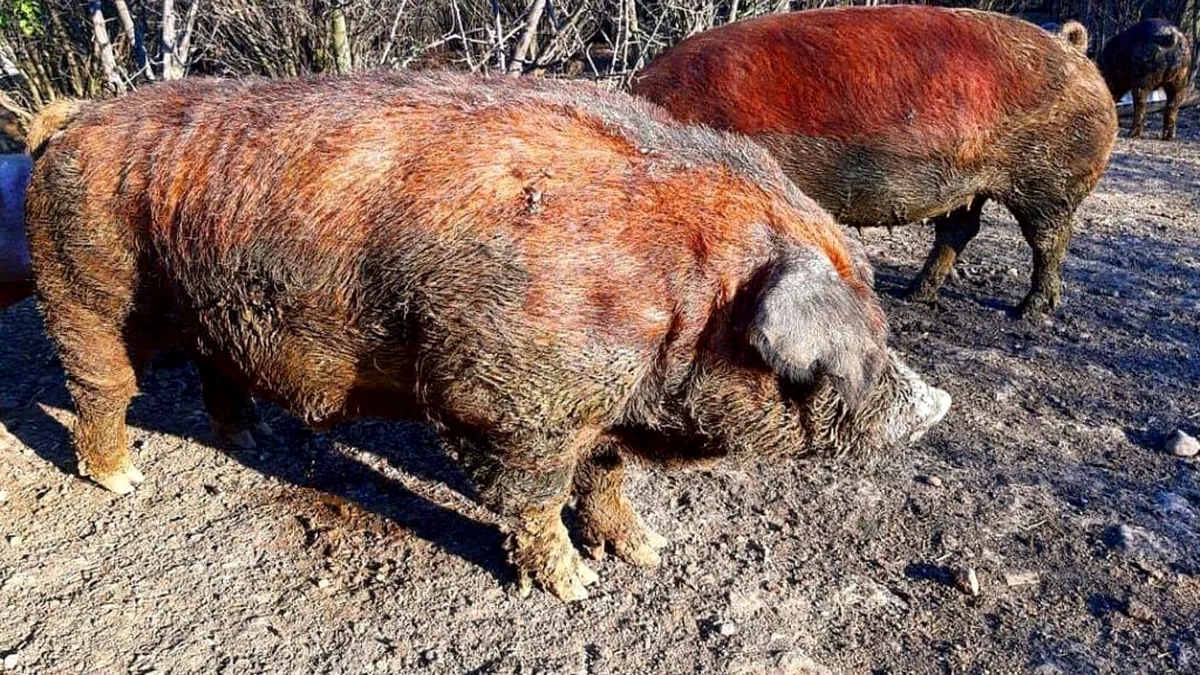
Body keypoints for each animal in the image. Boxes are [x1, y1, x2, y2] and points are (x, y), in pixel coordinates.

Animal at [23, 73, 950, 598]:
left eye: (878, 318)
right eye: (855, 348)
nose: (936, 403)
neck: (684, 303)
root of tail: (68, 121)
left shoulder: (603, 406)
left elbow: (606, 477)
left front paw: (650, 553)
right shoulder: (508, 403)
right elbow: (534, 497)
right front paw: (577, 590)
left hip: (210, 306)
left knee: (217, 372)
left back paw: (250, 438)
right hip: (84, 281)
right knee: (101, 381)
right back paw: (123, 481)